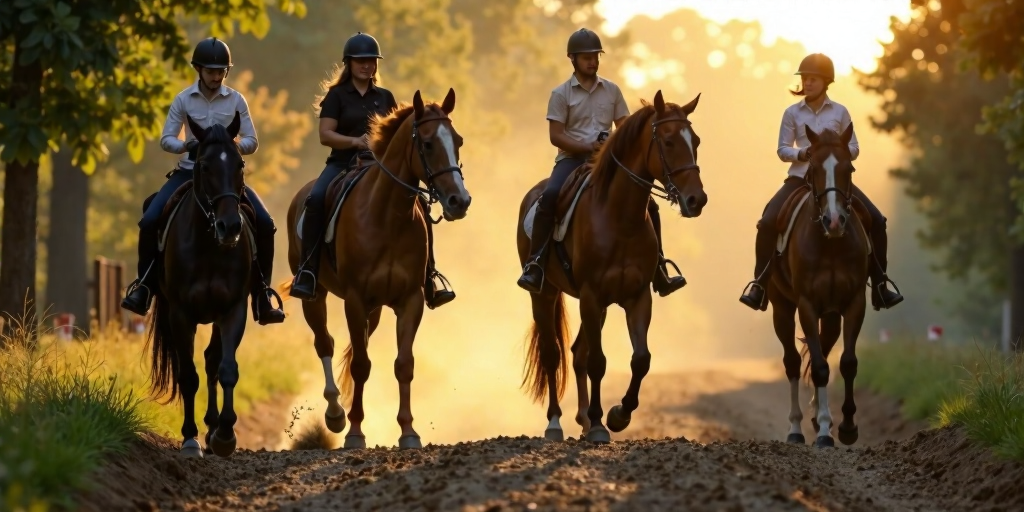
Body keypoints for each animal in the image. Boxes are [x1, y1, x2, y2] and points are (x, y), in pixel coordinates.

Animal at [146, 111, 253, 456]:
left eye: (240, 164)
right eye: (204, 166)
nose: (230, 227)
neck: (208, 245)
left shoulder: (233, 310)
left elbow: (227, 368)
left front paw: (224, 435)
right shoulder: (180, 314)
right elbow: (187, 377)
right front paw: (190, 439)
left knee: (211, 360)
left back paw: (213, 425)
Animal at [280, 90, 471, 450]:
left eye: (458, 141)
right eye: (427, 144)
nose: (459, 201)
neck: (388, 215)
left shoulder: (410, 300)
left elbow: (403, 364)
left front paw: (408, 432)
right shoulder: (354, 300)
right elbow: (359, 364)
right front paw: (354, 432)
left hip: (376, 308)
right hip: (316, 296)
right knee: (325, 344)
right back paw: (335, 414)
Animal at [516, 90, 708, 442]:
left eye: (696, 140)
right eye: (669, 141)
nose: (696, 200)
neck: (620, 218)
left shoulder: (637, 296)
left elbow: (641, 359)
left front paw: (618, 415)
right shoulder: (591, 296)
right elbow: (598, 362)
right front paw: (598, 424)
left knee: (577, 352)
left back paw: (581, 418)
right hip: (545, 294)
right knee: (553, 354)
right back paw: (555, 423)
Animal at [770, 123, 872, 448]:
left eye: (848, 167)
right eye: (813, 167)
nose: (835, 220)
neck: (830, 245)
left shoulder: (853, 302)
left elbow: (846, 362)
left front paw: (847, 428)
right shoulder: (806, 304)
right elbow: (818, 367)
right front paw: (826, 432)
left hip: (830, 316)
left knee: (824, 351)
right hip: (782, 308)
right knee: (792, 362)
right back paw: (796, 428)